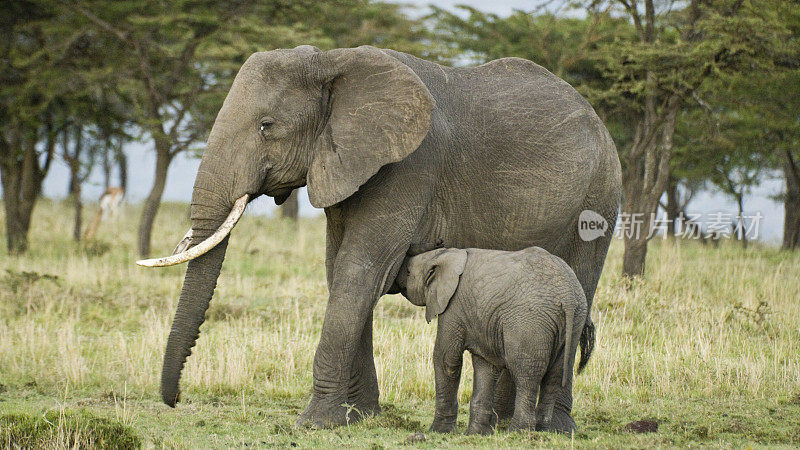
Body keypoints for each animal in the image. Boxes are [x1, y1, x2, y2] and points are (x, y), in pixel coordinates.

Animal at [400, 248, 588, 434]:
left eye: (408, 272)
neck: (444, 254)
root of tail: (568, 297)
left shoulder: (453, 306)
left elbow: (447, 358)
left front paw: (438, 431)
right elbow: (486, 366)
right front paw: (476, 434)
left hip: (529, 322)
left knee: (526, 375)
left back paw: (517, 431)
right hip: (575, 320)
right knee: (555, 375)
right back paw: (543, 430)